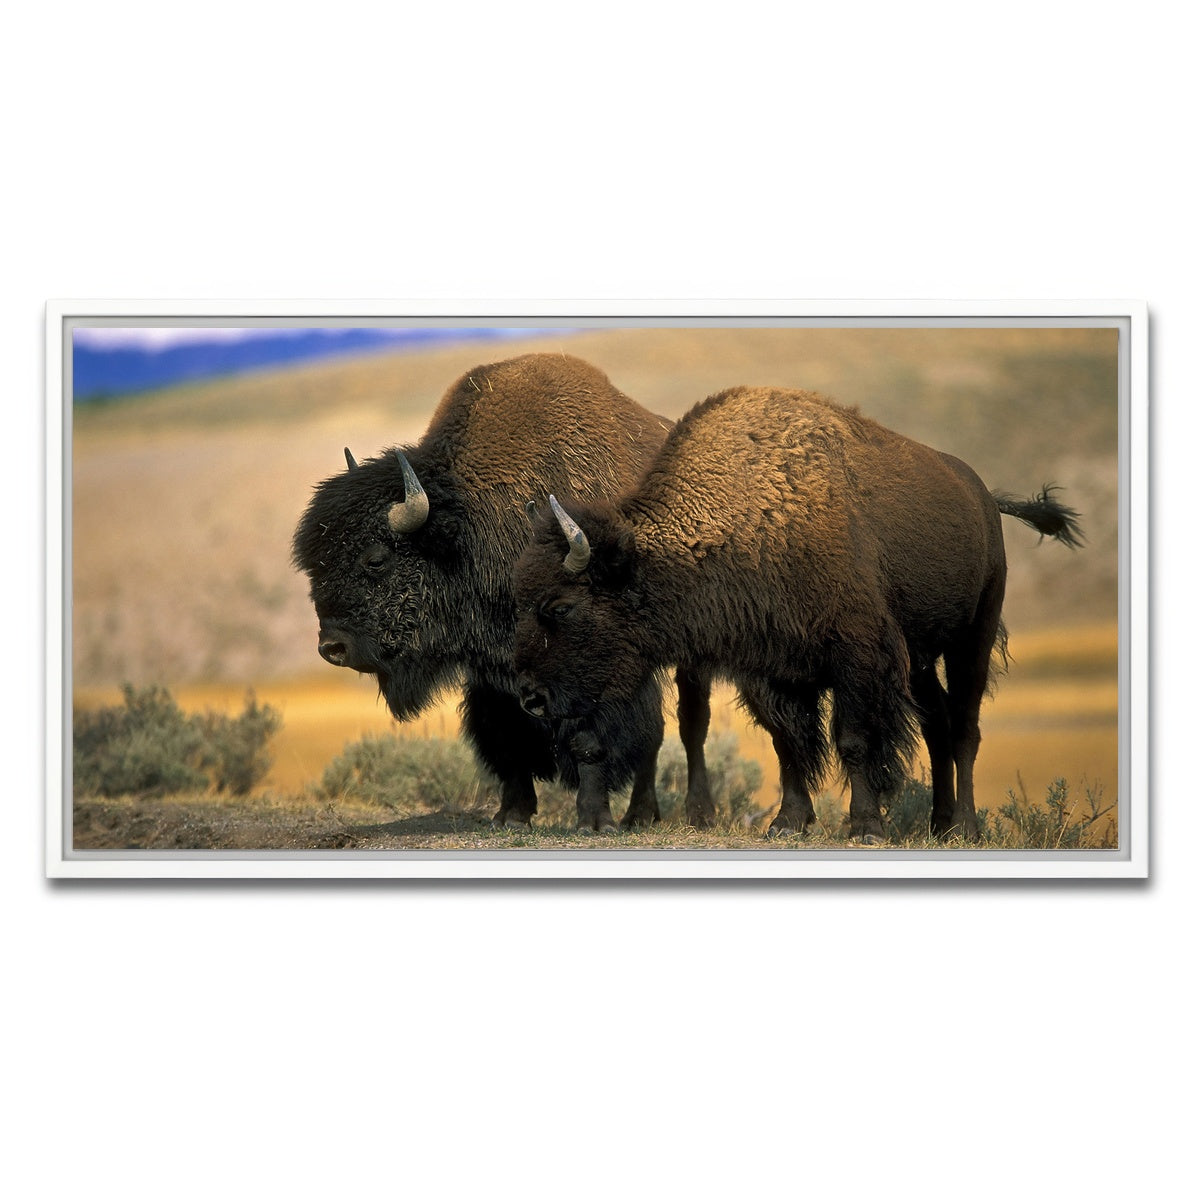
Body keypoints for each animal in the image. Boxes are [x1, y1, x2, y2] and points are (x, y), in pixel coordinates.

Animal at [291, 352, 710, 831]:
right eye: (314, 565)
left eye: (376, 559)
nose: (332, 647)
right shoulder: (492, 672)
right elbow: (507, 737)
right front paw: (512, 814)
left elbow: (592, 738)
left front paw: (594, 820)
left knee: (684, 727)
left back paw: (666, 814)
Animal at [513, 385, 1082, 842]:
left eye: (560, 606)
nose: (530, 697)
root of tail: (983, 495)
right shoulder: (773, 671)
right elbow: (789, 742)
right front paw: (786, 823)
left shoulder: (858, 658)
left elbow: (853, 740)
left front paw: (865, 827)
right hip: (920, 659)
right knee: (937, 723)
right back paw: (939, 826)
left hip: (972, 638)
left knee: (964, 726)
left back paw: (964, 825)